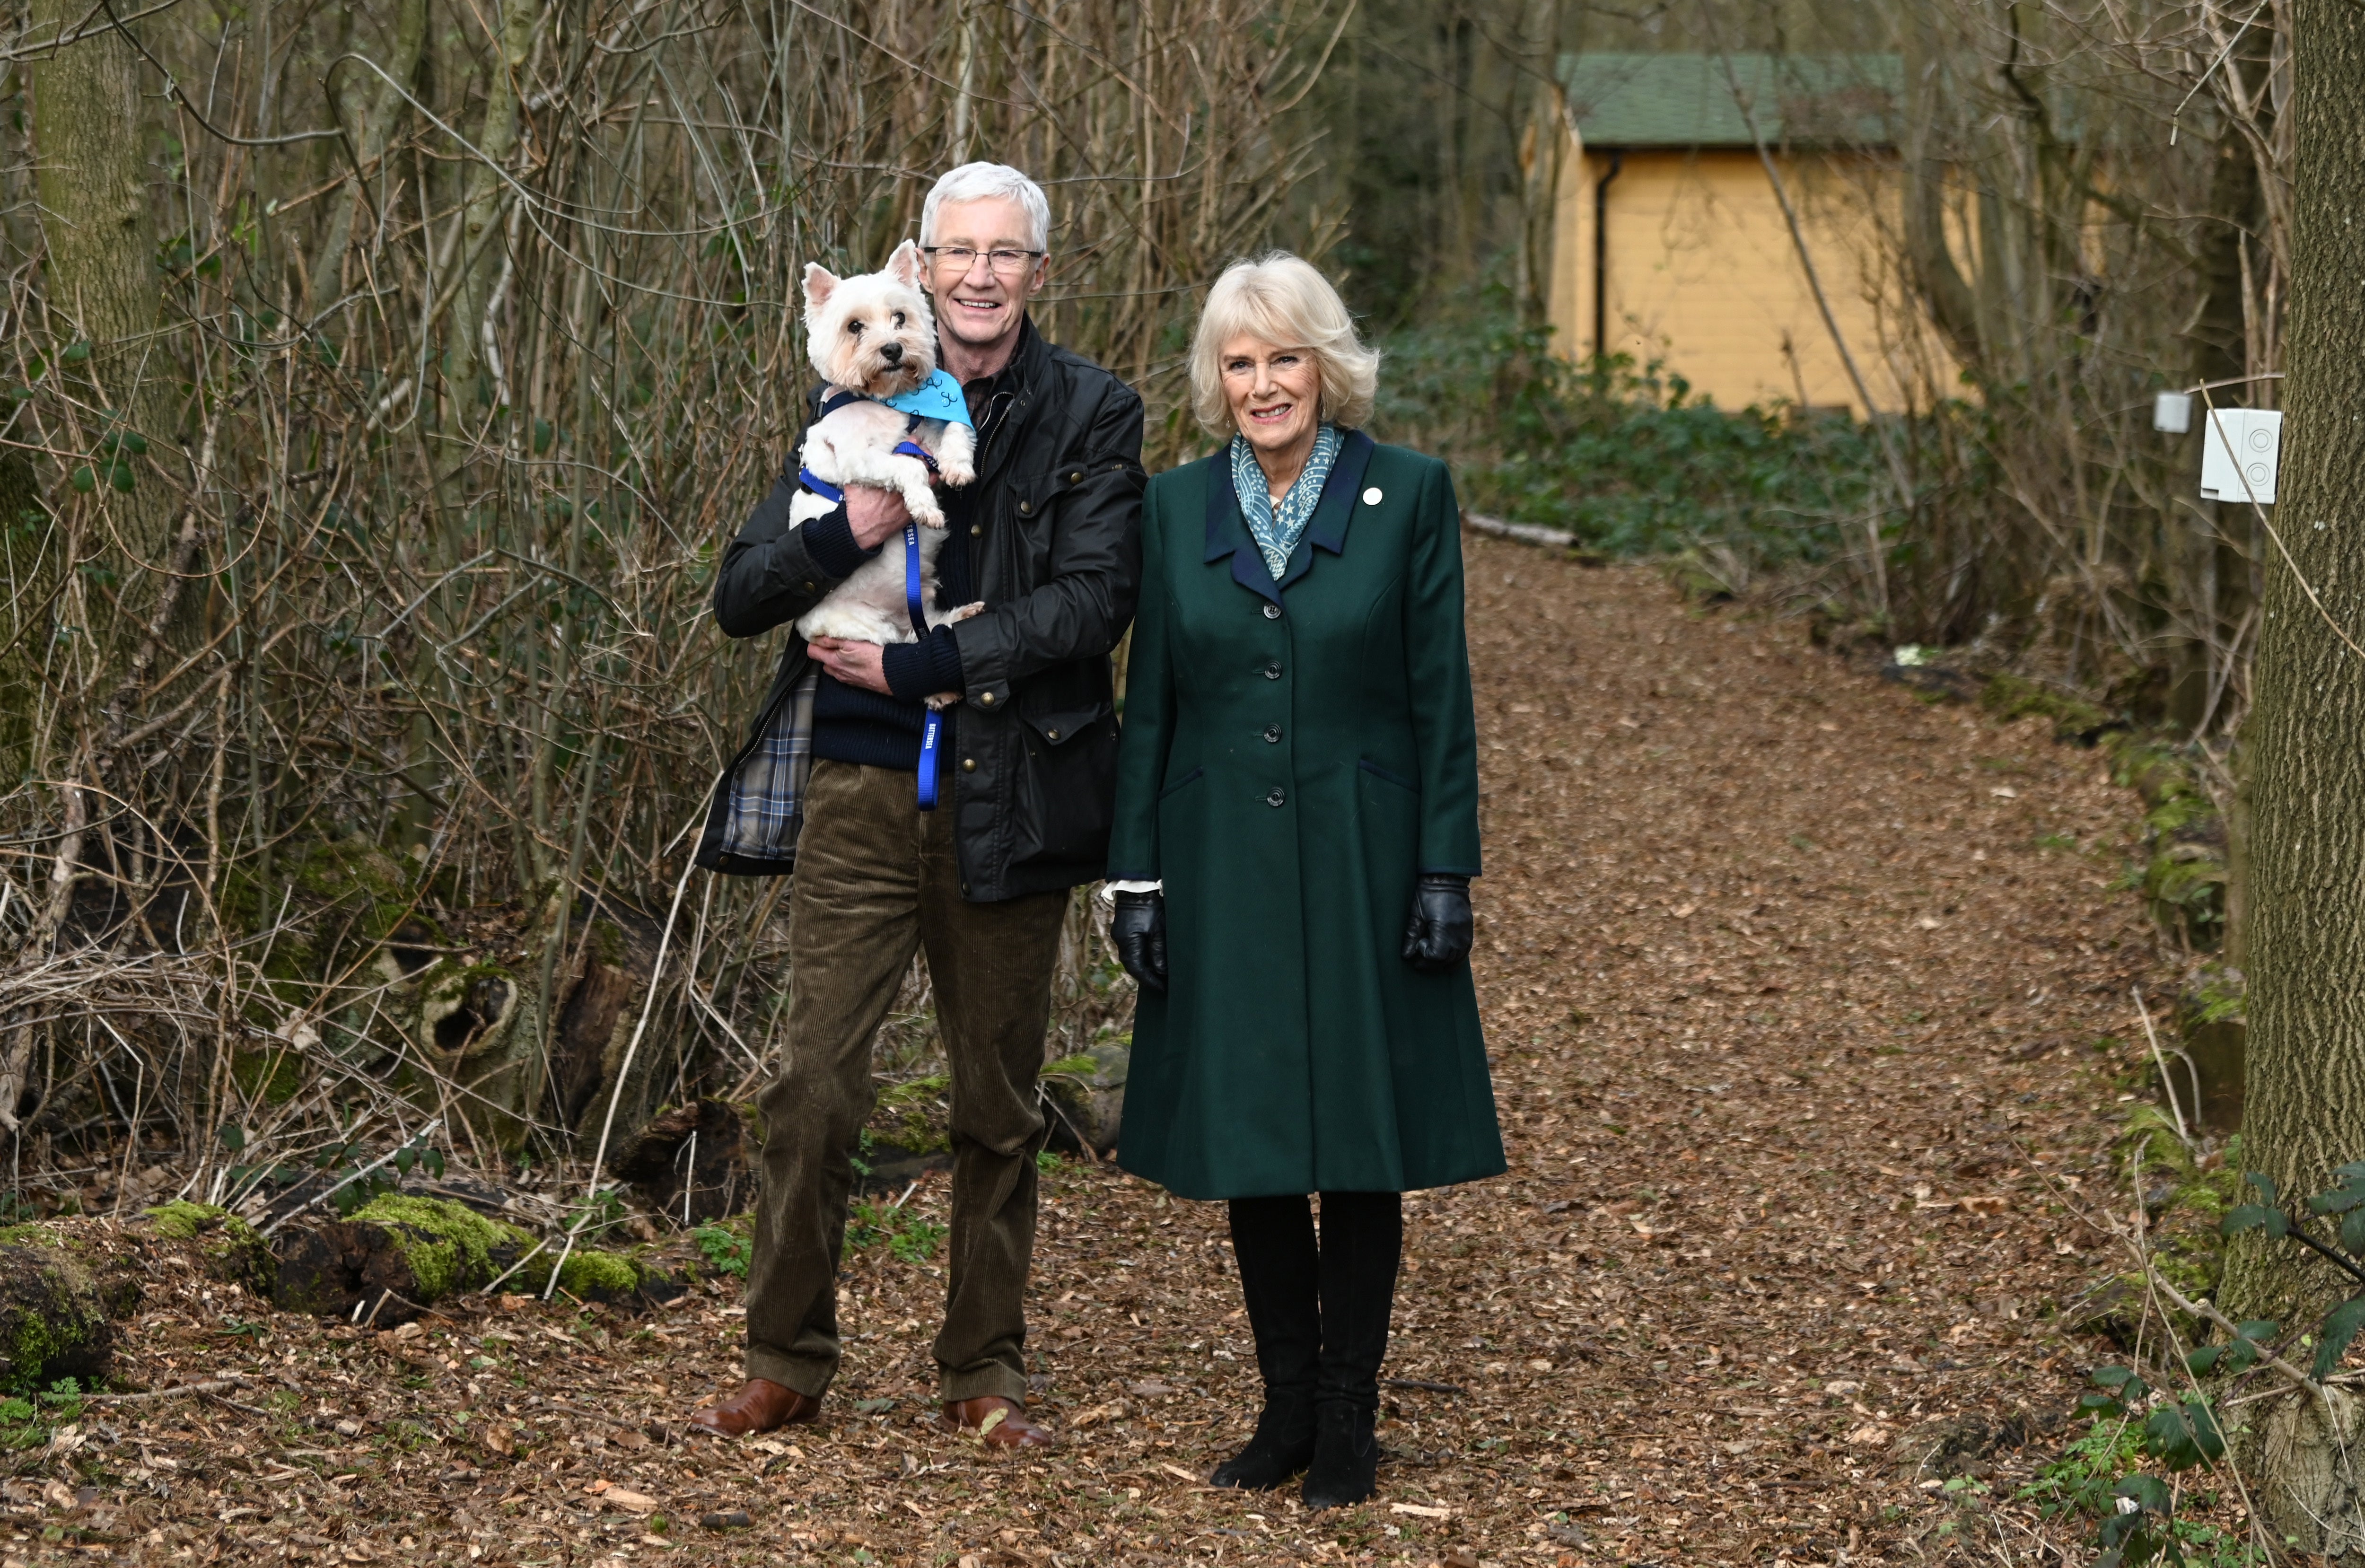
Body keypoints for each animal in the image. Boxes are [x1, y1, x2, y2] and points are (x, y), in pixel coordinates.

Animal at [795, 237, 979, 648]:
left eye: (900, 318)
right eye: (855, 327)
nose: (893, 349)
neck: (888, 398)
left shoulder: (925, 434)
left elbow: (955, 429)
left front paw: (959, 466)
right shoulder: (859, 459)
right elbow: (907, 465)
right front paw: (926, 507)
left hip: (919, 611)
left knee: (932, 627)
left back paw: (965, 614)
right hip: (864, 628)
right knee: (902, 645)